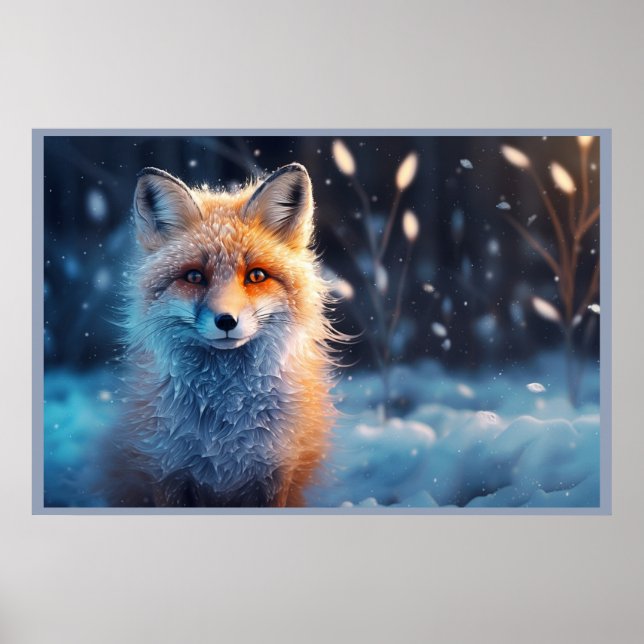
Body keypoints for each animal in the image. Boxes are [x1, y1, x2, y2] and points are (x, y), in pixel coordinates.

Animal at [104, 163, 339, 507]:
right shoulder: (166, 470)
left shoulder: (276, 471)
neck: (224, 425)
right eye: (194, 277)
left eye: (256, 276)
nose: (226, 320)